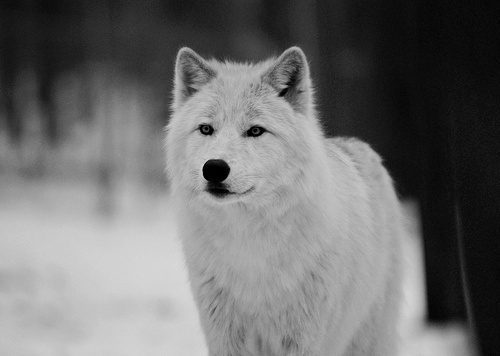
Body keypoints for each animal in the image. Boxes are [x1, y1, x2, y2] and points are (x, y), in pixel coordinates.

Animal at [166, 47, 404, 356]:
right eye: (206, 129)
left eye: (255, 131)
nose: (214, 168)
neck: (248, 246)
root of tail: (357, 145)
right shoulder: (226, 338)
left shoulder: (302, 340)